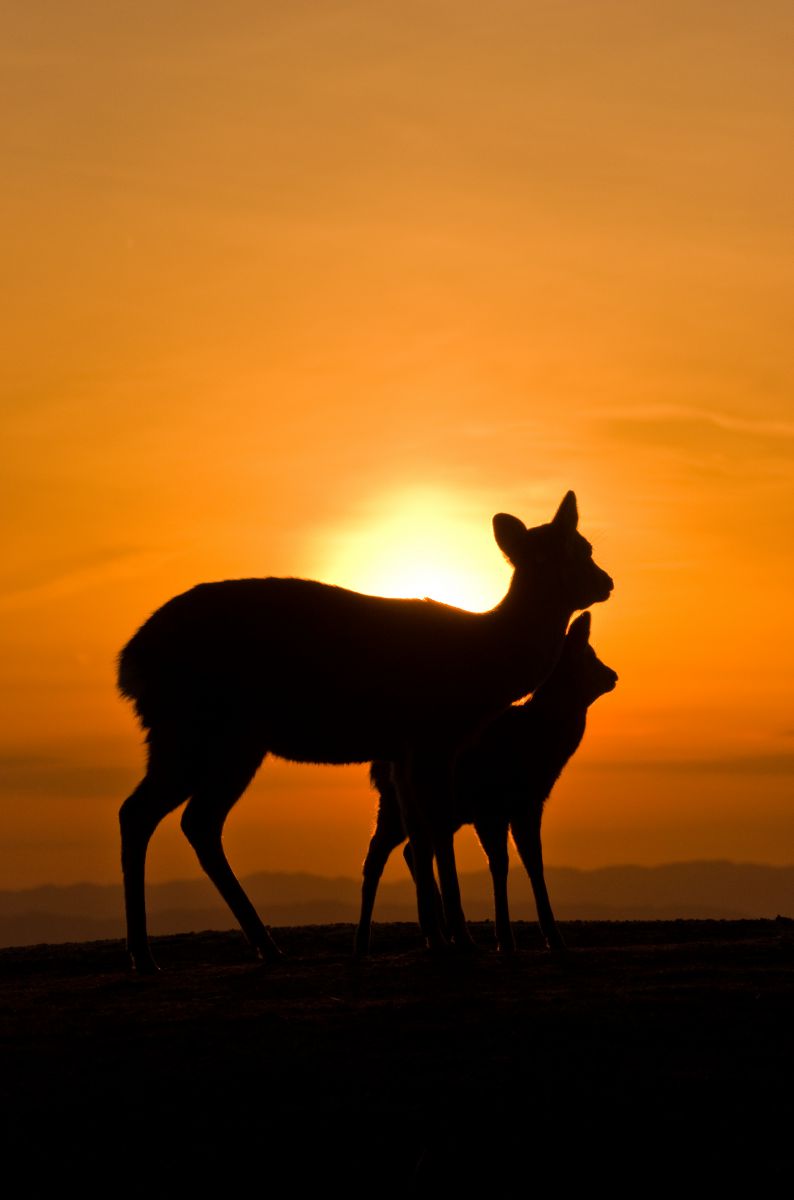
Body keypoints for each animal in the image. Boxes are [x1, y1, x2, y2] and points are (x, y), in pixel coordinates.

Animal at [355, 610, 618, 955]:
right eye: (588, 655)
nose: (613, 676)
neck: (539, 745)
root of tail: (379, 761)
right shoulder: (489, 808)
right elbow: (500, 864)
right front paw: (505, 940)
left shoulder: (528, 806)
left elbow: (534, 863)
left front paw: (555, 939)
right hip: (402, 803)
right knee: (381, 855)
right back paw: (370, 941)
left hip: (416, 809)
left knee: (407, 850)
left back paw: (430, 933)